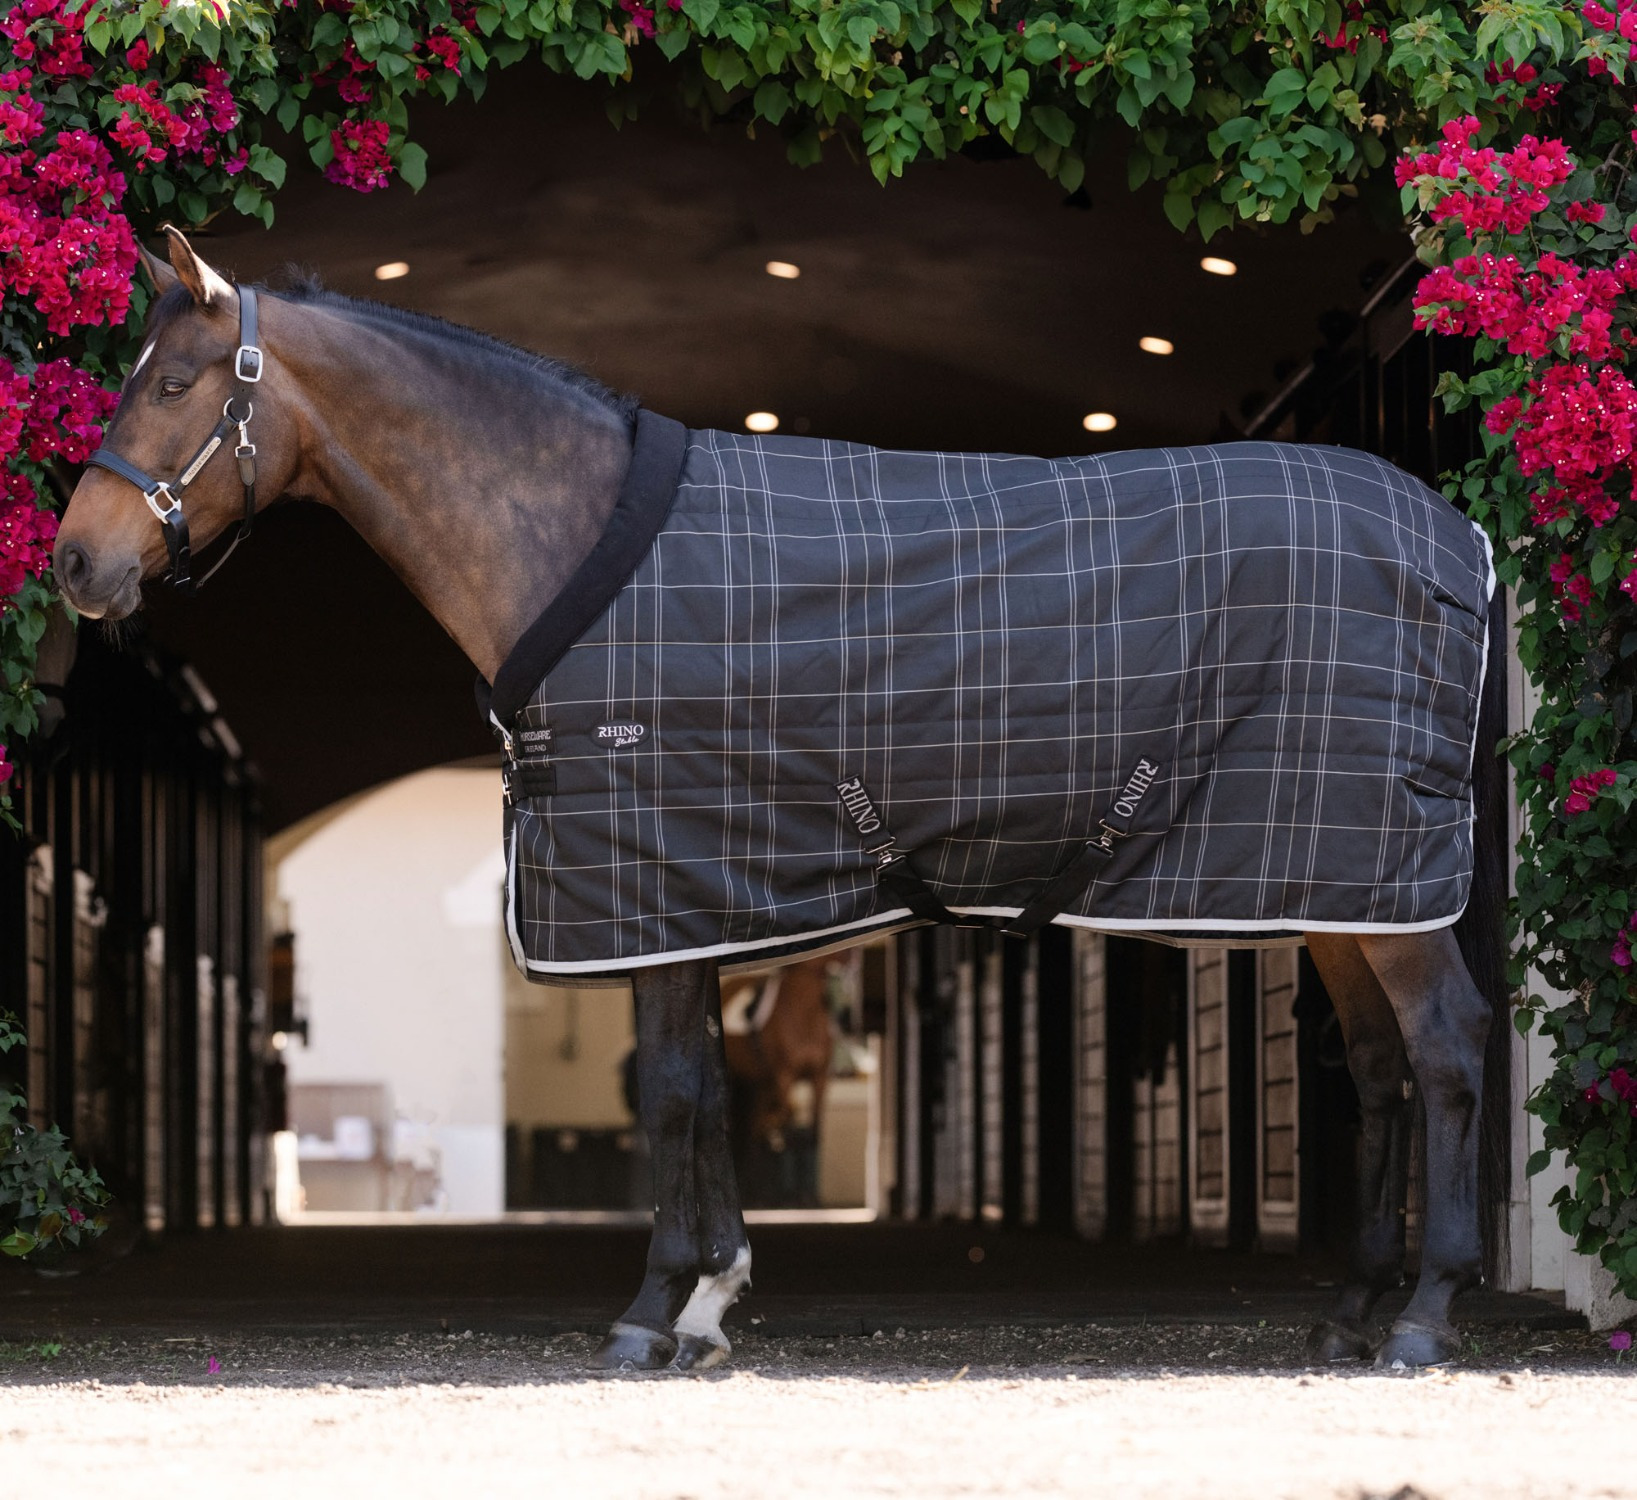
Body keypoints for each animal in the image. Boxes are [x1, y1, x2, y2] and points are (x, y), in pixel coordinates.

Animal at [53, 228, 1505, 1373]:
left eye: (172, 384)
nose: (72, 563)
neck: (571, 535)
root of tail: (1456, 539)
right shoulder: (686, 890)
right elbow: (697, 1086)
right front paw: (711, 1296)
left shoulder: (652, 876)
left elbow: (675, 1090)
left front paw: (655, 1310)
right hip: (1335, 888)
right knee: (1382, 1068)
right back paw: (1347, 1311)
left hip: (1375, 880)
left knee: (1445, 1050)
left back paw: (1423, 1316)